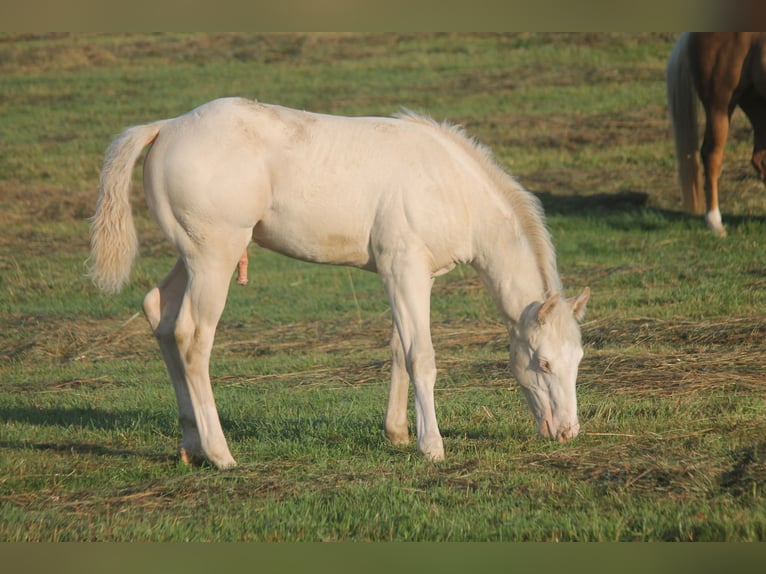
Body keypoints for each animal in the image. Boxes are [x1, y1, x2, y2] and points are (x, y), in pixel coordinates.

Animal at [88, 97, 590, 469]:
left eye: (578, 360)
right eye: (543, 363)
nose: (568, 432)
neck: (449, 184)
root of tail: (167, 127)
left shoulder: (410, 278)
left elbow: (400, 349)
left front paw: (398, 433)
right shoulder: (405, 271)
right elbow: (422, 357)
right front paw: (432, 445)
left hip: (191, 258)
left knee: (159, 312)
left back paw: (190, 445)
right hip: (214, 259)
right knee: (191, 338)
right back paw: (220, 453)